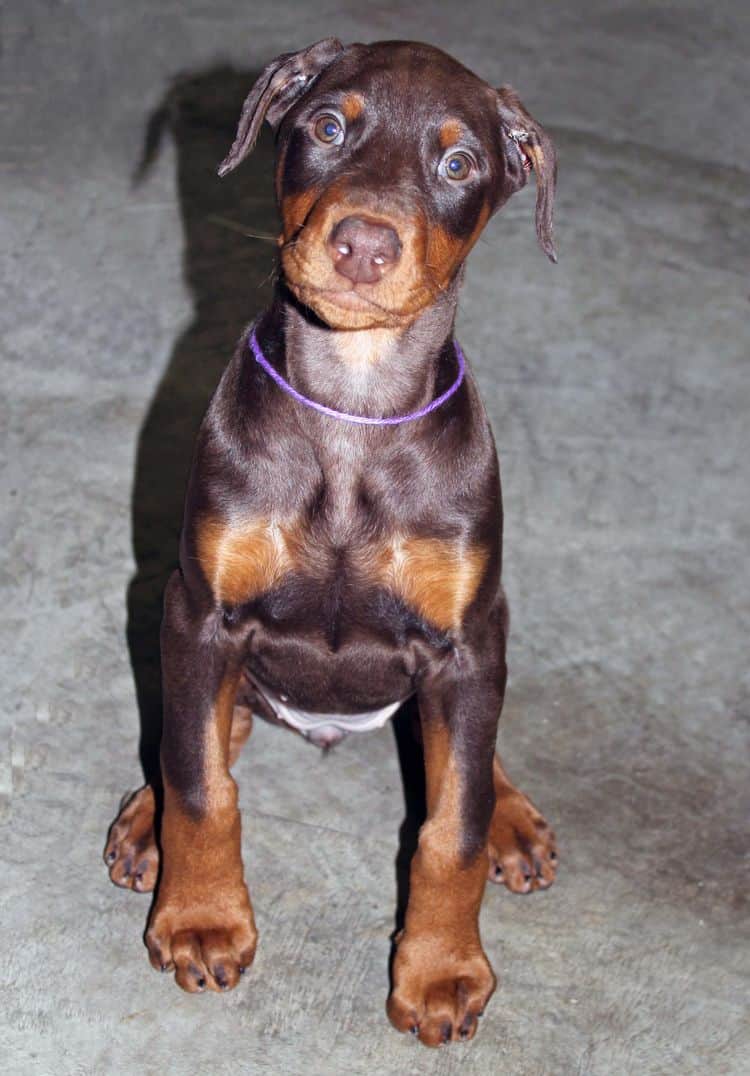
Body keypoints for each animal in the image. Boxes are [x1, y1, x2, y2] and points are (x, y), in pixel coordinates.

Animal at [108, 37, 559, 1045]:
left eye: (458, 163)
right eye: (326, 125)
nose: (363, 244)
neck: (354, 402)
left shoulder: (467, 641)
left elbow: (450, 826)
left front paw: (440, 972)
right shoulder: (201, 612)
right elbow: (201, 782)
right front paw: (202, 919)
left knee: (471, 759)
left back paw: (512, 816)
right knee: (199, 734)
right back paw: (146, 821)